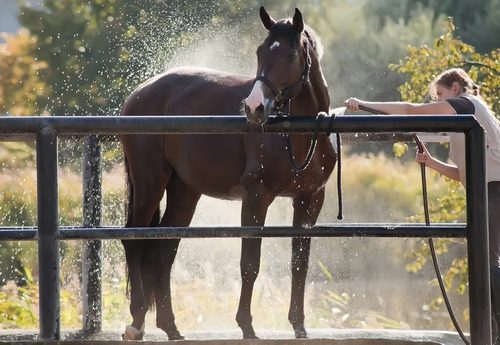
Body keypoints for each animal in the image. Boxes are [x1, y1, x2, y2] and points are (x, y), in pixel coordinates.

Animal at [119, 6, 336, 340]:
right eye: (260, 51)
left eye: (290, 55)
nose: (255, 107)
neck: (297, 135)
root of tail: (139, 94)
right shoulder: (256, 198)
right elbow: (250, 264)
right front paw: (246, 325)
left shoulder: (310, 200)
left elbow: (299, 263)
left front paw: (299, 326)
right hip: (149, 184)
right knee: (134, 240)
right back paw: (137, 320)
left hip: (184, 192)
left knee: (164, 249)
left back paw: (171, 327)